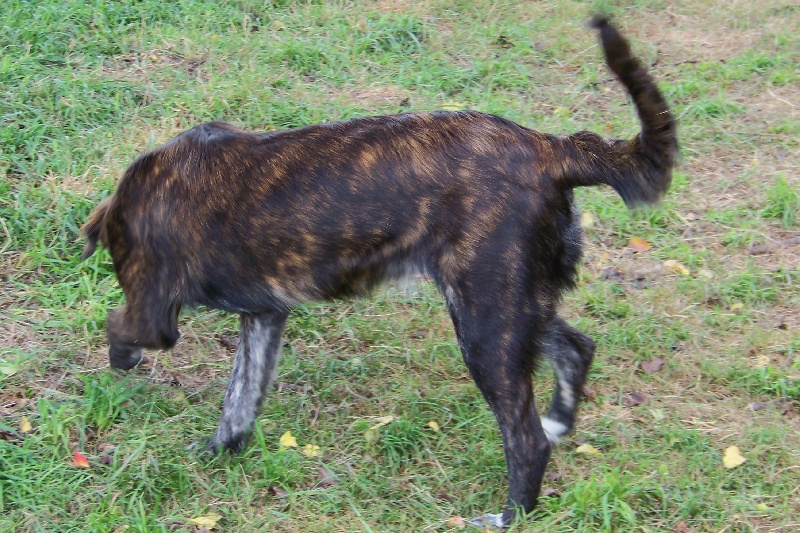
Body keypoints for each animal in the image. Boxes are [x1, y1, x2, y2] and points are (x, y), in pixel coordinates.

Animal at [81, 18, 680, 524]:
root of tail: (552, 149)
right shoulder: (265, 315)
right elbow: (240, 401)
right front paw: (217, 453)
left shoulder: (154, 313)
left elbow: (118, 326)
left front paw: (120, 366)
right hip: (514, 305)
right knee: (576, 347)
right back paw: (559, 423)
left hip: (486, 321)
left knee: (525, 439)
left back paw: (509, 515)